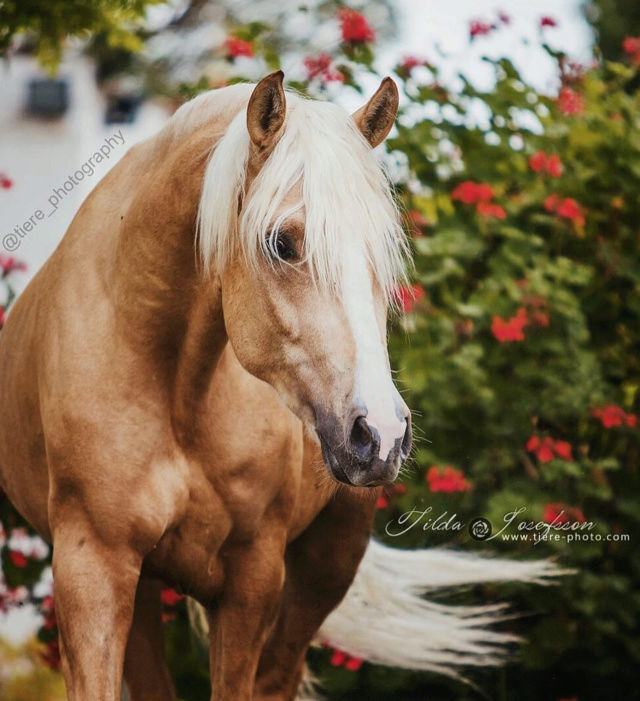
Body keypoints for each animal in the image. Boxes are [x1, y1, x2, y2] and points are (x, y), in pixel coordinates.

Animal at [0, 72, 410, 700]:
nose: (381, 434)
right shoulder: (90, 568)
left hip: (329, 560)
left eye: (381, 248)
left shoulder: (252, 580)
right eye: (282, 243)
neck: (176, 386)